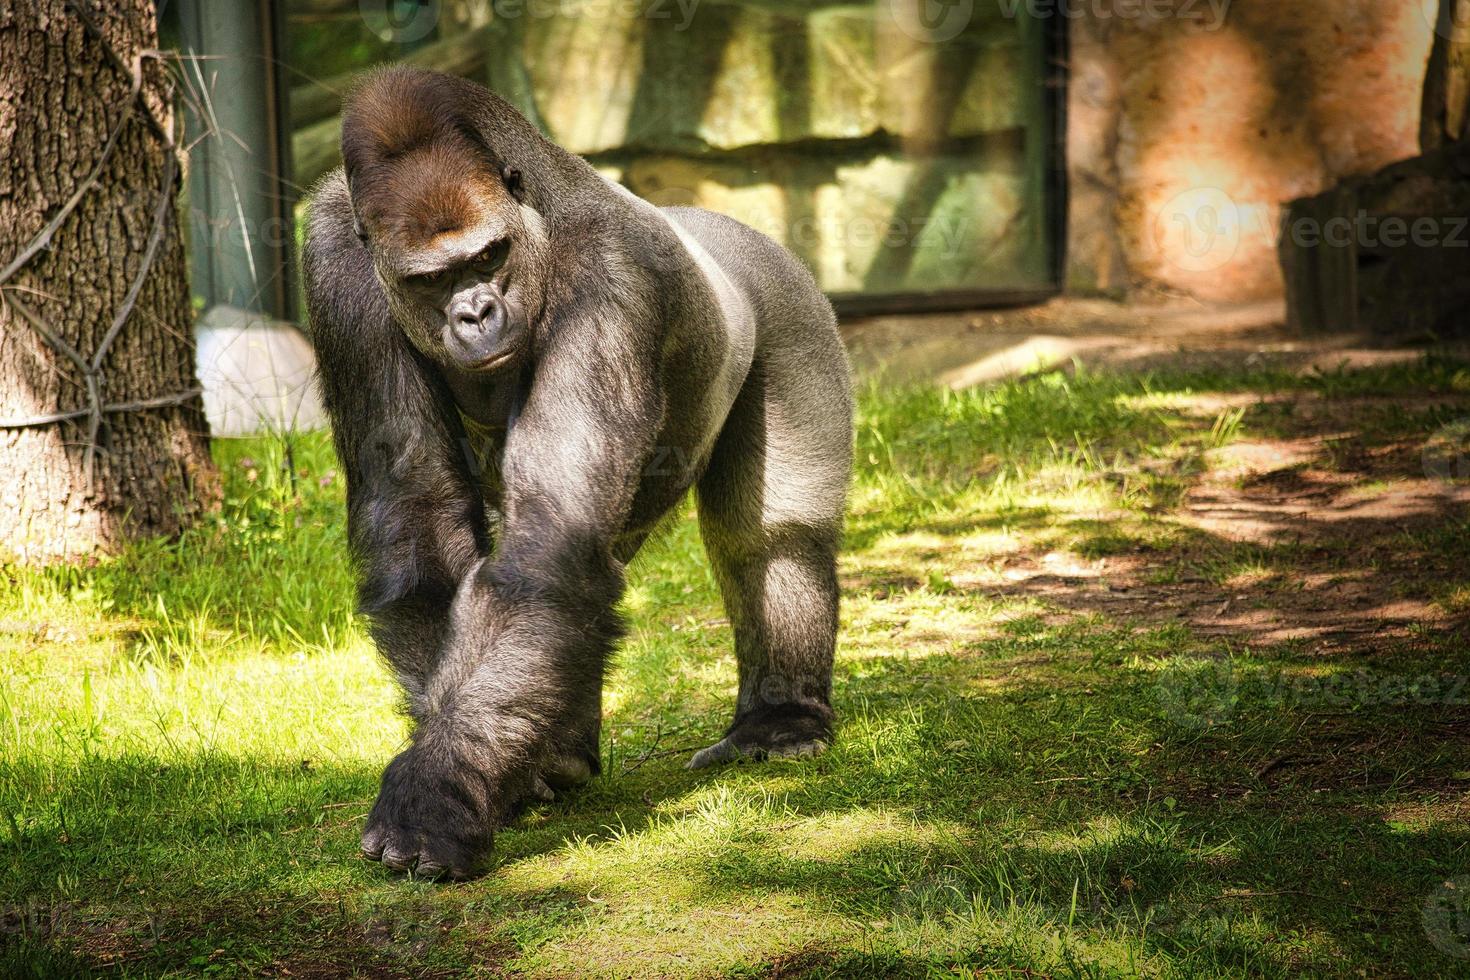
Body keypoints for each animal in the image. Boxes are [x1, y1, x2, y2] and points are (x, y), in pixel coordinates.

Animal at [301, 69, 852, 881]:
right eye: (434, 280)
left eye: (488, 259)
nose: (476, 314)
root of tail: (719, 223)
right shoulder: (336, 261)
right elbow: (418, 519)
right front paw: (488, 768)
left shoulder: (609, 275)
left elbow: (550, 546)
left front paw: (443, 786)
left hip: (792, 306)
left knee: (770, 540)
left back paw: (779, 720)